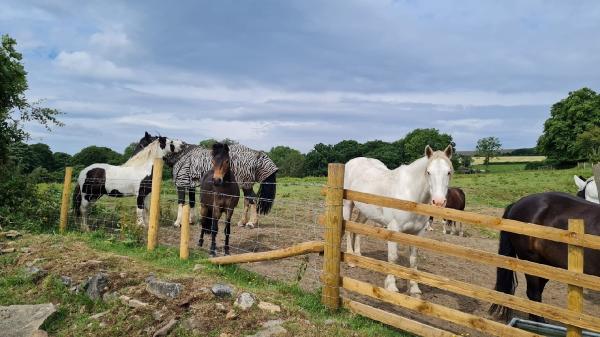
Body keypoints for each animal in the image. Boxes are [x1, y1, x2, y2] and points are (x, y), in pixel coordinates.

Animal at [342, 144, 454, 296]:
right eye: (428, 172)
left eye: (448, 172)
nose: (439, 202)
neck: (410, 195)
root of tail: (351, 162)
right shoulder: (393, 230)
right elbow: (393, 257)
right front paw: (391, 287)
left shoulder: (417, 233)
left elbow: (413, 260)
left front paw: (414, 288)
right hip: (348, 204)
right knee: (348, 228)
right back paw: (351, 259)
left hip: (365, 211)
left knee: (358, 227)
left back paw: (358, 256)